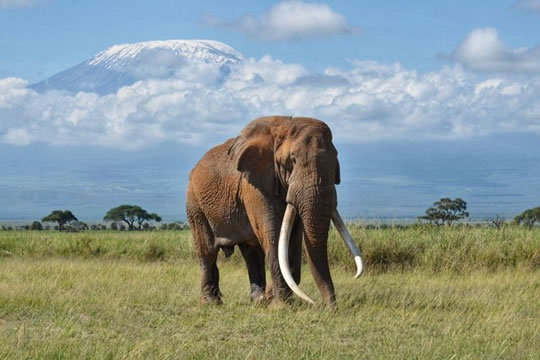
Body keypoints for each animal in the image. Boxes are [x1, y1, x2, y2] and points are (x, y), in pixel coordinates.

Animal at [187, 115, 362, 306]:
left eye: (335, 162)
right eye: (292, 160)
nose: (330, 308)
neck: (285, 125)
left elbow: (293, 240)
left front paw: (270, 299)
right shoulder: (254, 187)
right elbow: (274, 236)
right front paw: (281, 306)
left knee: (251, 252)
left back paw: (258, 300)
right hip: (195, 204)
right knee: (207, 251)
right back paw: (211, 303)